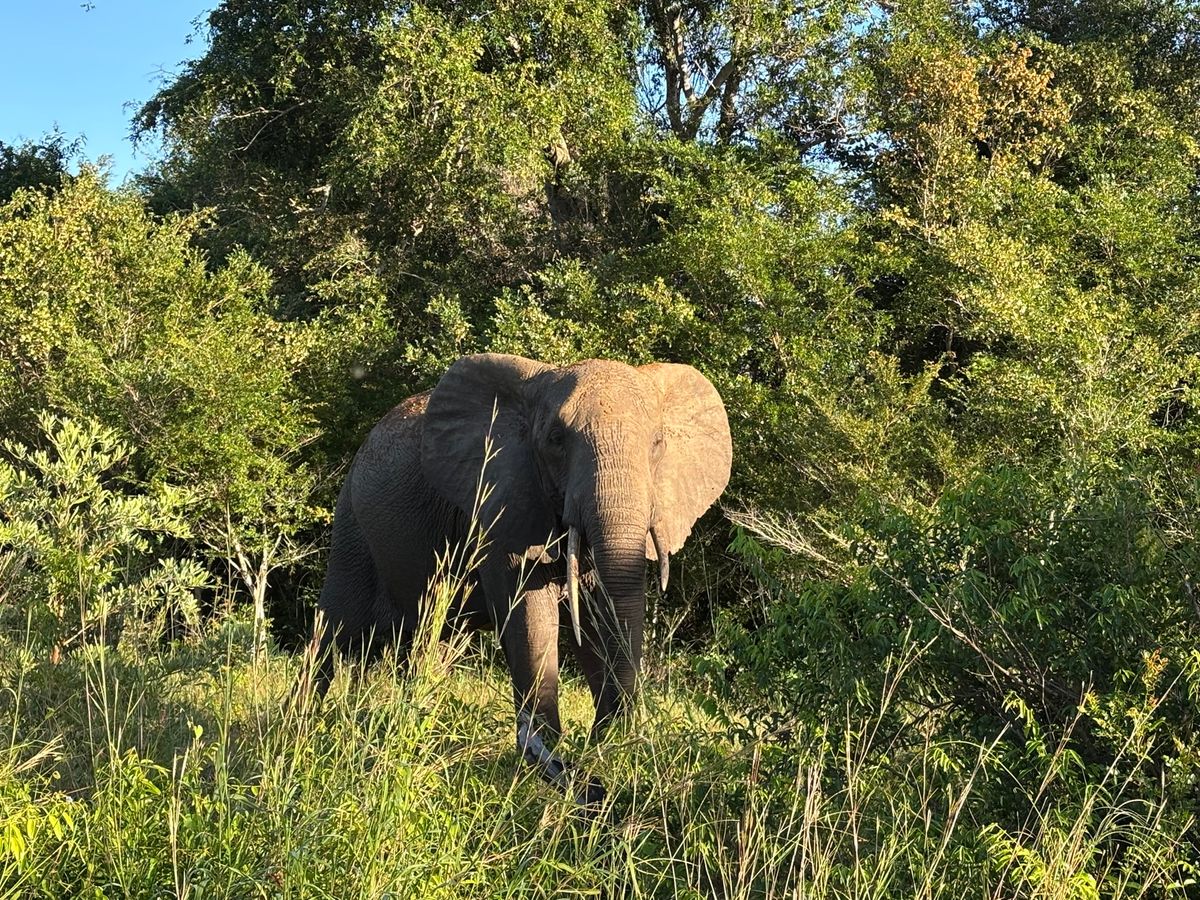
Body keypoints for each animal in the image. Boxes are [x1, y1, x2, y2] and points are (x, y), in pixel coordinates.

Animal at [314, 353, 731, 797]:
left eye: (657, 444)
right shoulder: (501, 504)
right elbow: (530, 615)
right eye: (555, 439)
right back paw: (305, 724)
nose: (595, 776)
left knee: (434, 643)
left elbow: (602, 614)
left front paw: (609, 749)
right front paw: (549, 757)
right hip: (352, 524)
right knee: (335, 628)